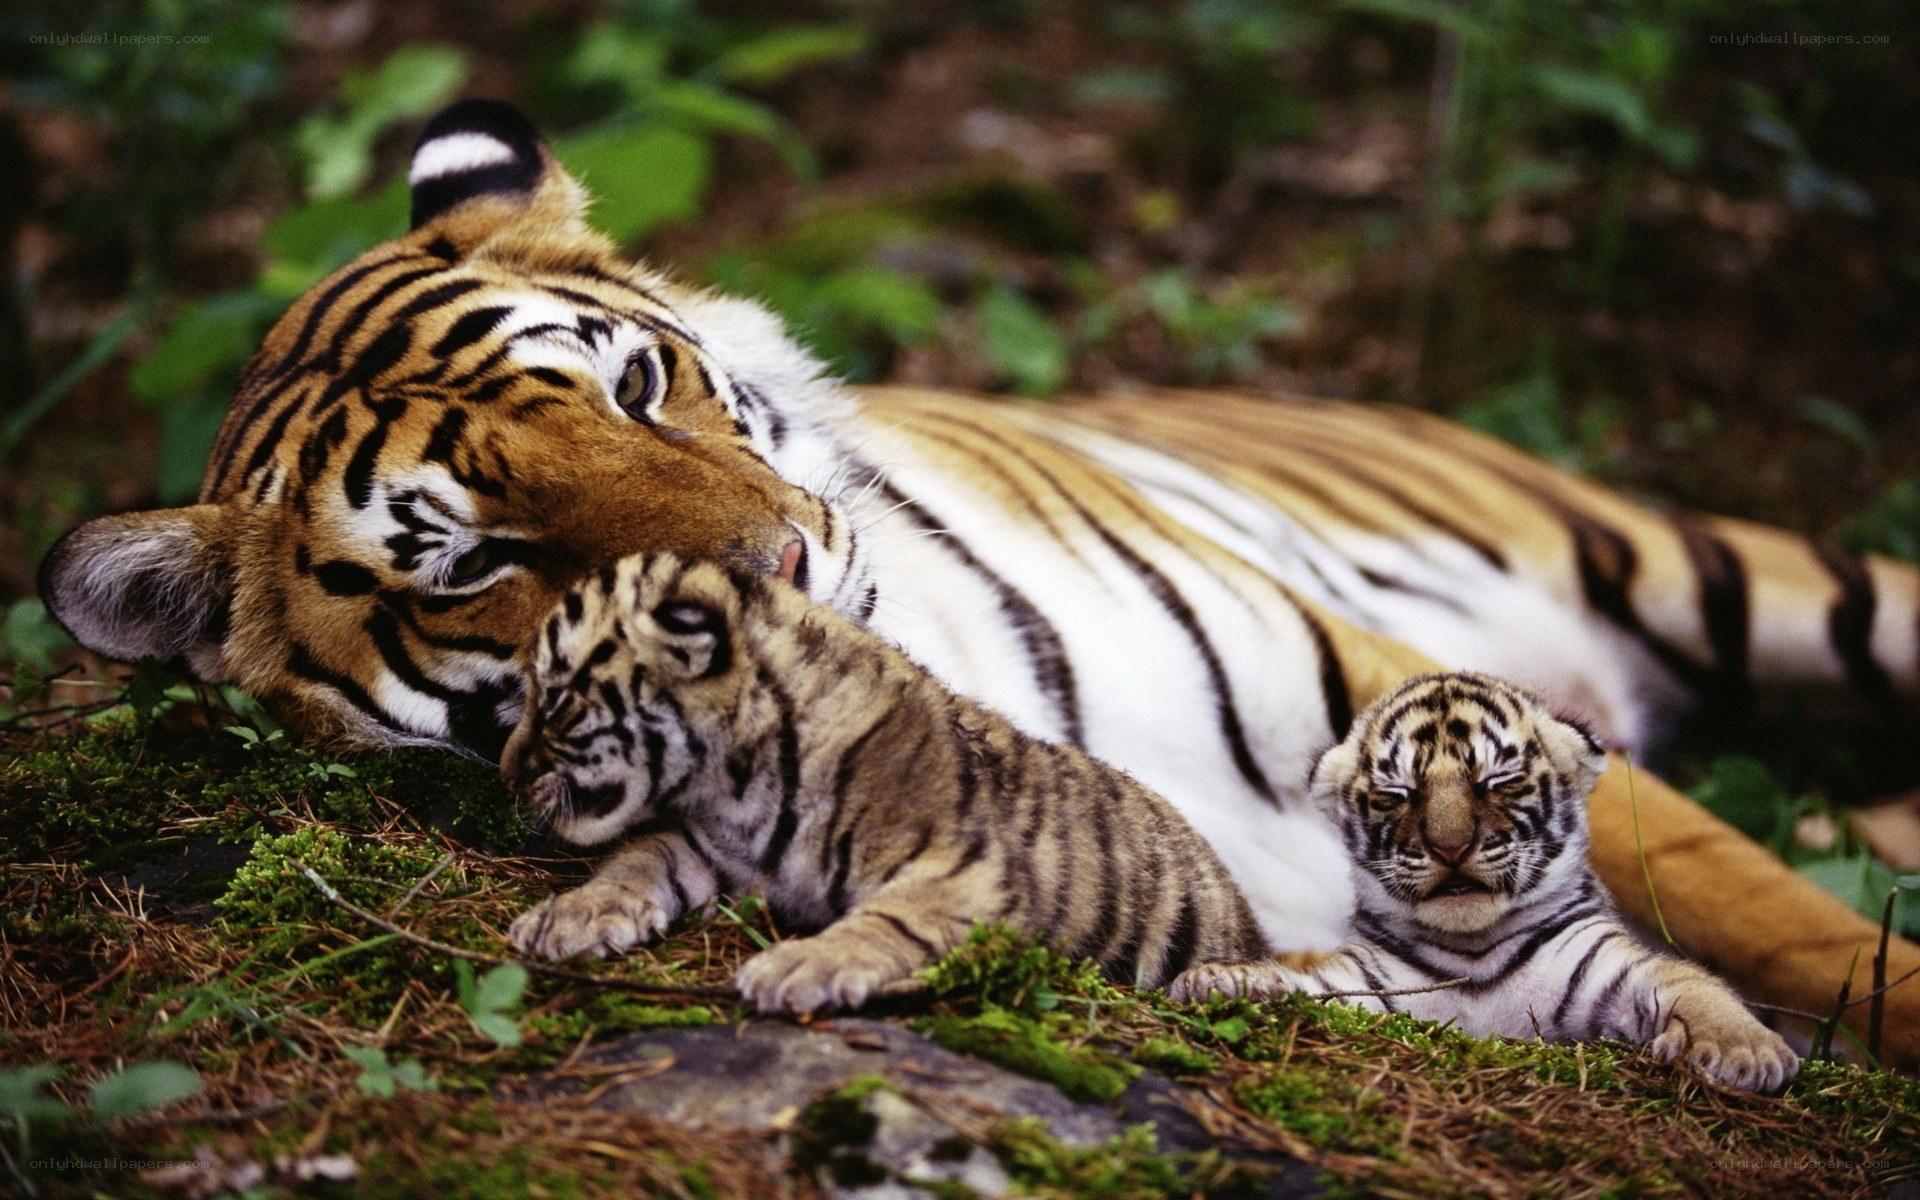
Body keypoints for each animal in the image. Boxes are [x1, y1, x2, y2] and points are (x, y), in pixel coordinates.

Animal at [501, 551, 1271, 1011]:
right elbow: (637, 860)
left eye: (555, 697)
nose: (507, 771)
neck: (733, 781)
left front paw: (794, 968)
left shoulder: (966, 873)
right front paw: (571, 917)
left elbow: (884, 921)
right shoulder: (705, 845)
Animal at [1171, 673, 1800, 1091]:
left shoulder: (1612, 968)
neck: (1474, 954)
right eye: (1398, 795)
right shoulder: (1367, 987)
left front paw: (1743, 1051)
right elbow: (1308, 981)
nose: (1450, 848)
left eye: (1497, 781)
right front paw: (1224, 980)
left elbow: (1692, 982)